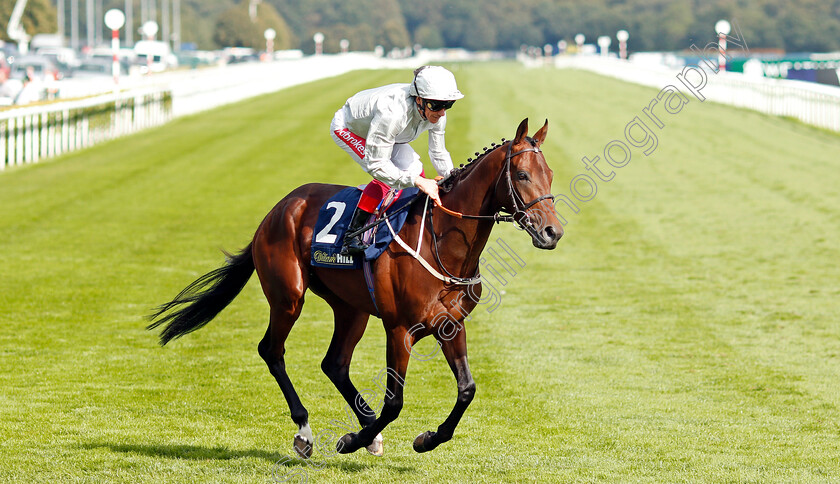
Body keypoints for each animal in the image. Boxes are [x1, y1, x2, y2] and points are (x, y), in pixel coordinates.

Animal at [149, 117, 564, 458]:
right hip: (288, 296)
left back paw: (367, 432)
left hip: (351, 308)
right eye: (522, 175)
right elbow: (394, 402)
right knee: (272, 350)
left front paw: (426, 438)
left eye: (550, 174)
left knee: (334, 363)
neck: (442, 240)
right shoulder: (399, 328)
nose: (552, 232)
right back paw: (306, 431)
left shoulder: (450, 324)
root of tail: (278, 208)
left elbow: (467, 389)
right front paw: (351, 440)